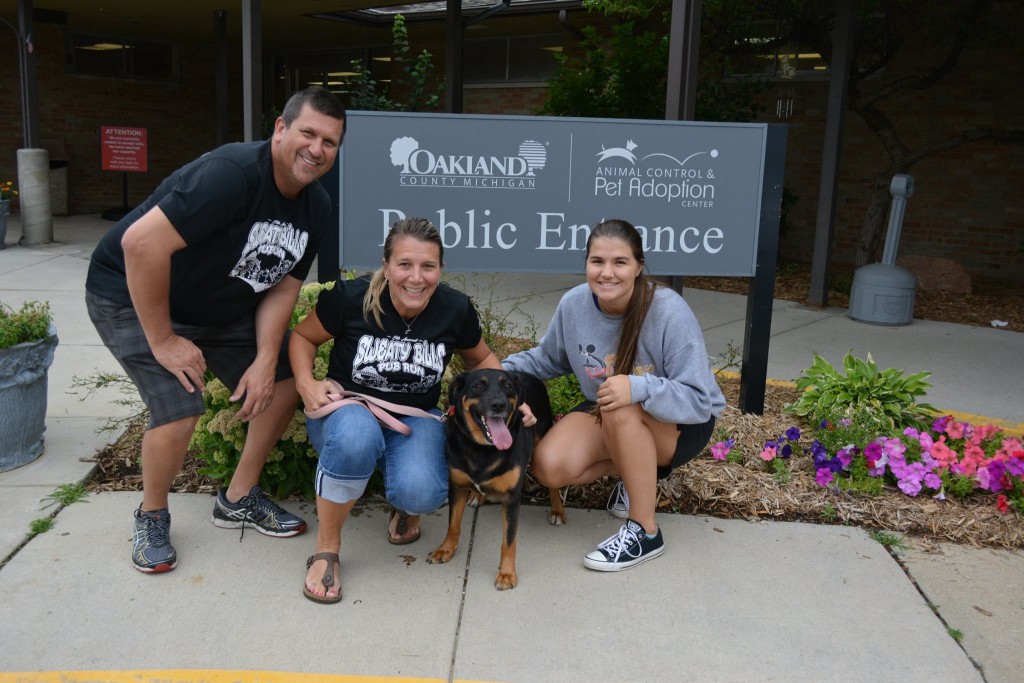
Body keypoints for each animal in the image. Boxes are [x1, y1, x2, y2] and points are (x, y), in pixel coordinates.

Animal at [425, 368, 565, 589]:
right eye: (478, 386)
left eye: (507, 386)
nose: (499, 405)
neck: (483, 449)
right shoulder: (456, 487)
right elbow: (453, 524)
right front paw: (446, 549)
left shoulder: (512, 498)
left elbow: (509, 541)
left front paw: (507, 573)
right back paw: (478, 496)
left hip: (542, 438)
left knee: (552, 483)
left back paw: (557, 510)